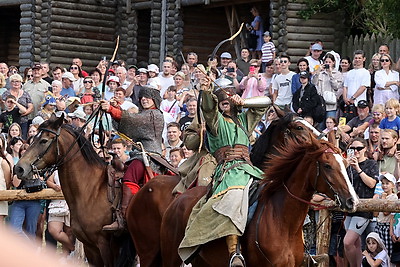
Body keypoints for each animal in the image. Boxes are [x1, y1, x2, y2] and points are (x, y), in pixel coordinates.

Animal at [14, 115, 133, 267]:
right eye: (33, 137)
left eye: (43, 140)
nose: (19, 168)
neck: (91, 190)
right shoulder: (90, 248)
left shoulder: (106, 245)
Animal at [159, 137, 360, 266]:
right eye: (327, 165)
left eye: (345, 164)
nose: (352, 201)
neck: (282, 220)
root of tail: (176, 202)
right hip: (171, 256)